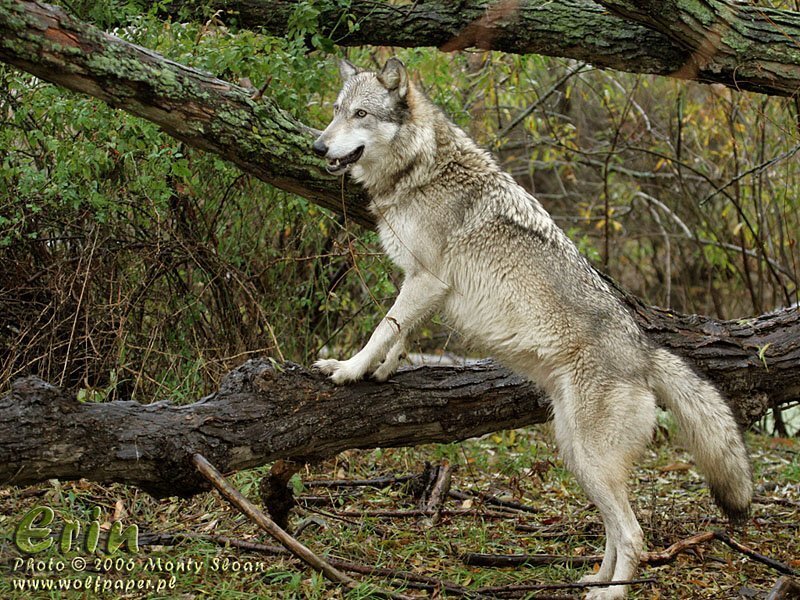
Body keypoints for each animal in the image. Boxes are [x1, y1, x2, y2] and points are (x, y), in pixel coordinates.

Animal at [312, 58, 752, 599]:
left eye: (360, 114)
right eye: (336, 110)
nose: (318, 146)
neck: (419, 168)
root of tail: (646, 351)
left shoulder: (428, 280)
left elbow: (382, 327)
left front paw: (349, 369)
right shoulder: (423, 285)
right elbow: (398, 333)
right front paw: (381, 369)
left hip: (591, 459)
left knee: (633, 534)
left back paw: (611, 591)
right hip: (577, 456)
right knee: (613, 529)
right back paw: (595, 578)